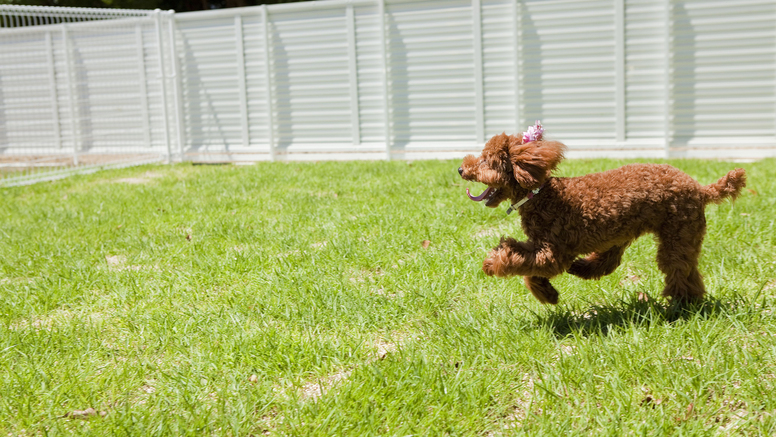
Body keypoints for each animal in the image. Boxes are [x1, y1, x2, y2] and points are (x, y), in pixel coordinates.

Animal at [460, 129, 744, 304]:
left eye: (486, 161)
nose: (462, 169)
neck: (540, 194)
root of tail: (701, 189)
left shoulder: (551, 251)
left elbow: (516, 257)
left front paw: (491, 263)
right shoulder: (543, 248)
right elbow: (529, 271)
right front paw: (548, 295)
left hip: (678, 233)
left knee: (677, 270)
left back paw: (680, 305)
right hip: (626, 233)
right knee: (614, 263)